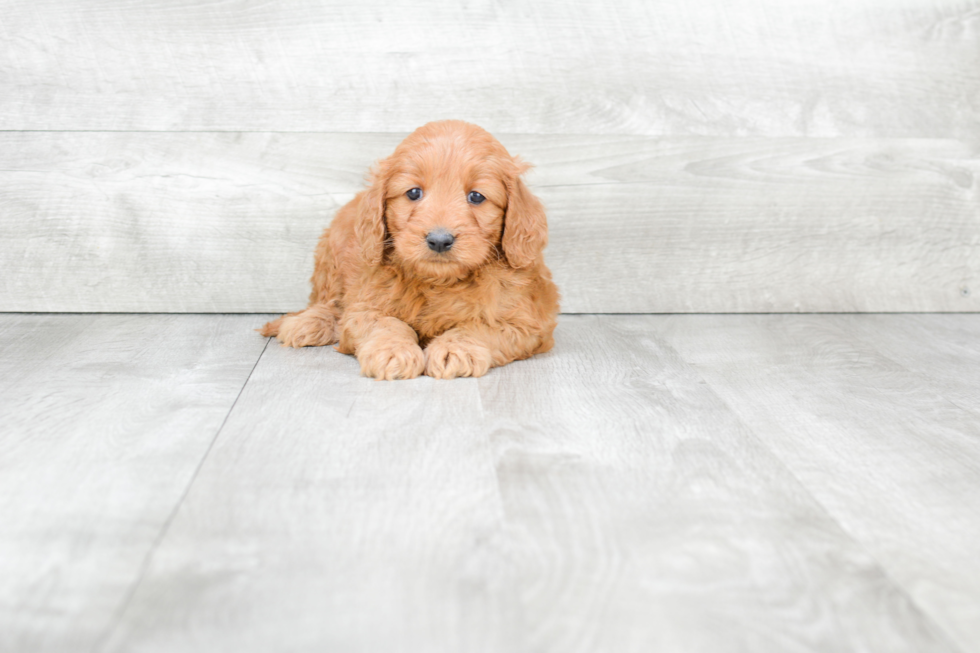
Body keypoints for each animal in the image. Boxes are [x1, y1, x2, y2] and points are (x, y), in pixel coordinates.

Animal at [262, 119, 560, 380]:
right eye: (414, 193)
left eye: (476, 196)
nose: (439, 240)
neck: (439, 282)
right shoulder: (364, 307)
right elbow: (387, 323)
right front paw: (392, 351)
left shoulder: (525, 322)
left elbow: (480, 327)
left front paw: (456, 348)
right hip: (331, 254)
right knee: (329, 303)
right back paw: (307, 323)